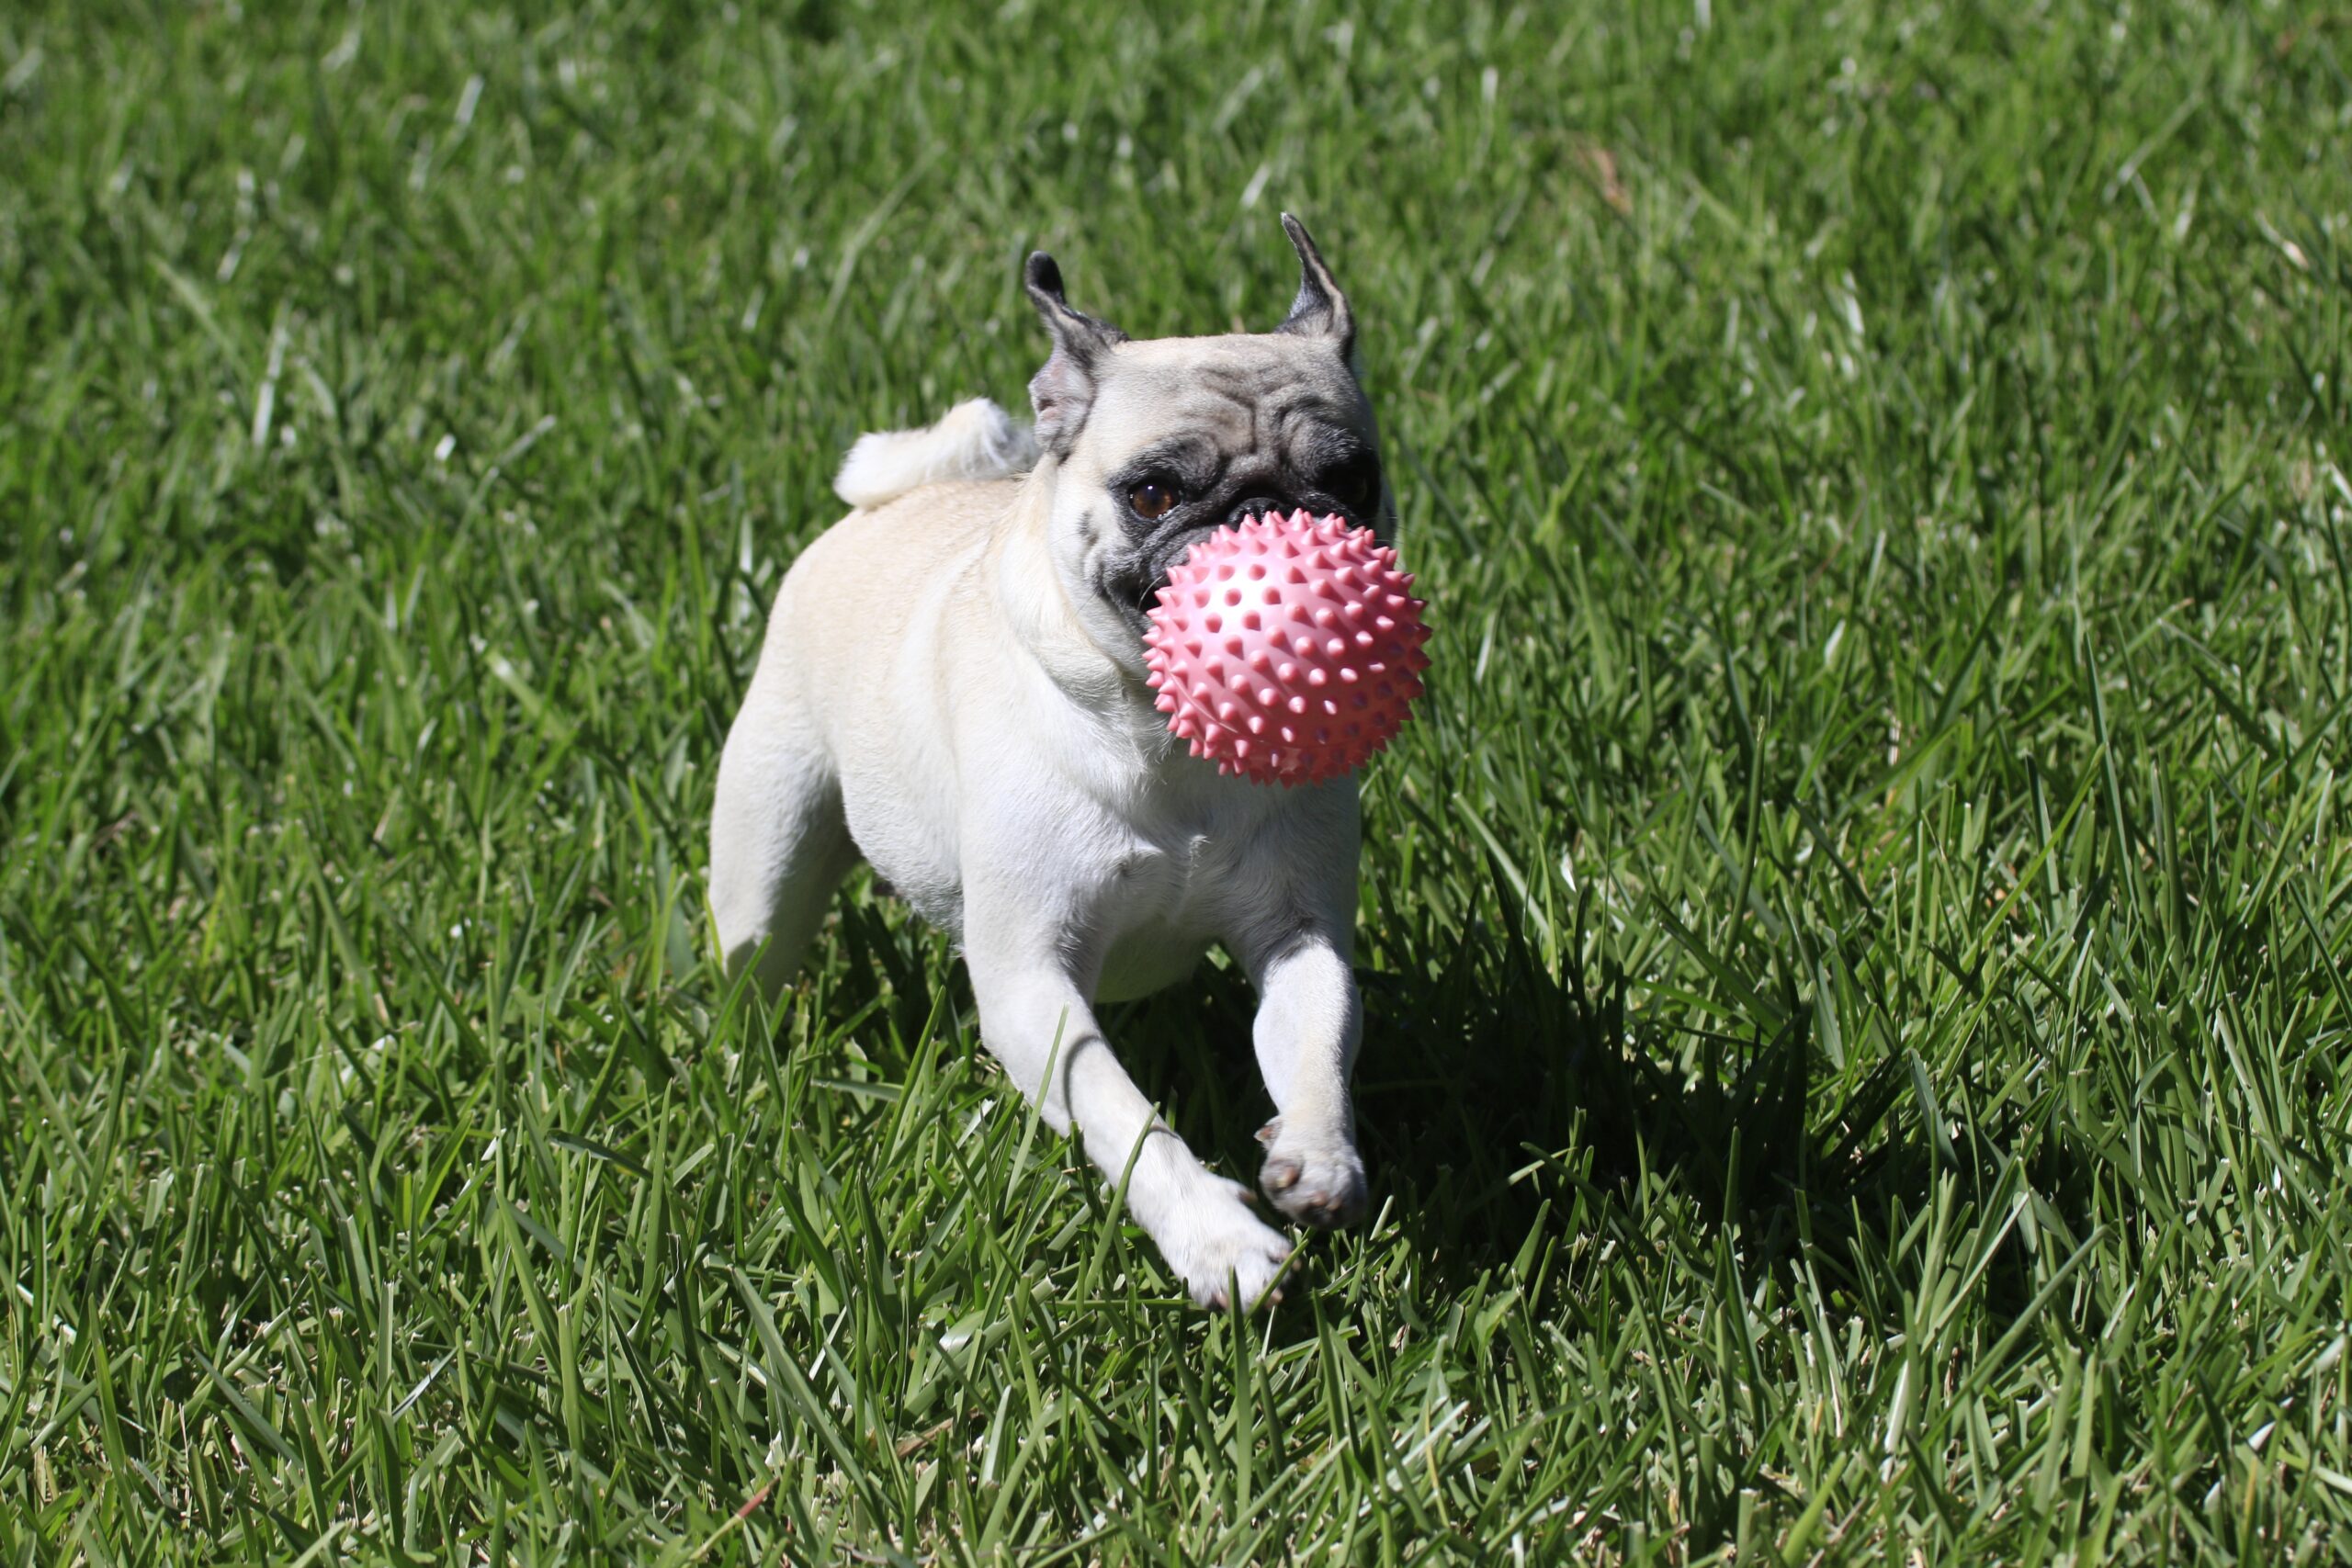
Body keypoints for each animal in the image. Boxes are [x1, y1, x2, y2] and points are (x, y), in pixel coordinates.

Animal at [706, 215, 1383, 1306]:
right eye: (1152, 492)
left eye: (1353, 480)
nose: (1260, 512)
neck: (1166, 736)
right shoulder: (1033, 986)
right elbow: (1124, 1117)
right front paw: (1217, 1241)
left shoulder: (1300, 935)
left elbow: (1316, 1041)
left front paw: (1316, 1158)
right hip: (766, 869)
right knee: (754, 961)